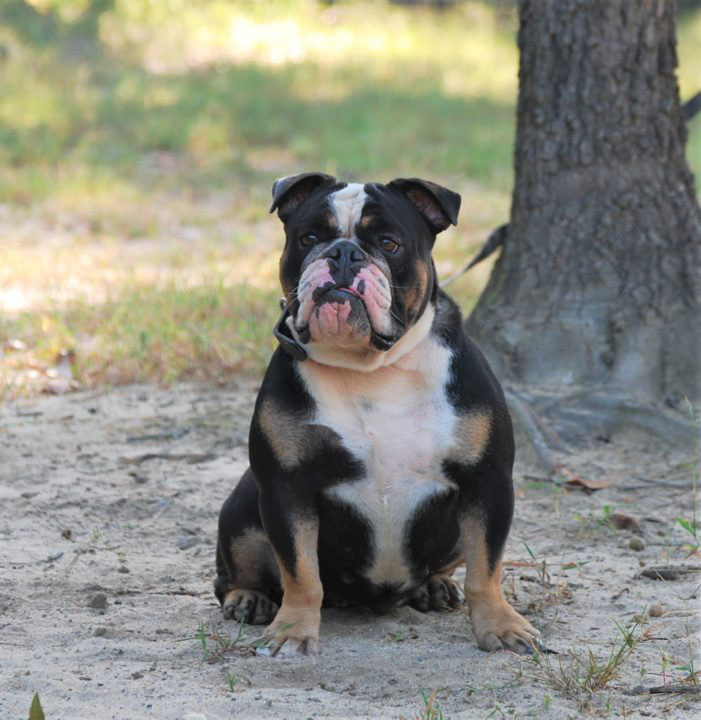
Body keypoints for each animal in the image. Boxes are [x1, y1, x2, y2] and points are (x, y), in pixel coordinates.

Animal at [215, 172, 540, 656]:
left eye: (389, 243)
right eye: (310, 238)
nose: (344, 253)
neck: (371, 368)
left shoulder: (486, 481)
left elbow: (486, 567)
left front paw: (501, 626)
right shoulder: (285, 487)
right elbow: (300, 572)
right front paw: (292, 632)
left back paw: (434, 587)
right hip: (243, 506)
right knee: (233, 574)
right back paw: (248, 598)